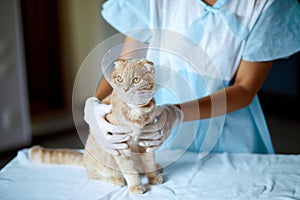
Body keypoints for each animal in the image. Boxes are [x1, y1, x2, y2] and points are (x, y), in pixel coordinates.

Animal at [29, 57, 163, 195]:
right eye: (119, 79)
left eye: (136, 80)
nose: (125, 89)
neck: (136, 111)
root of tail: (85, 159)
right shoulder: (120, 147)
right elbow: (129, 170)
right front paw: (136, 186)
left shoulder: (146, 141)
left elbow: (149, 161)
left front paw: (153, 177)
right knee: (95, 175)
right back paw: (115, 179)